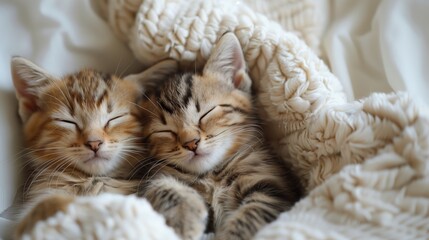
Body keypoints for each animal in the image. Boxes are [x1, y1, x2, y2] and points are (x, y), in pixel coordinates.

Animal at [136, 33, 300, 240]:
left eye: (206, 114)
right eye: (165, 131)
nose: (191, 143)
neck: (212, 174)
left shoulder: (274, 187)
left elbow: (253, 214)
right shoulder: (151, 177)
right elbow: (160, 185)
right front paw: (185, 217)